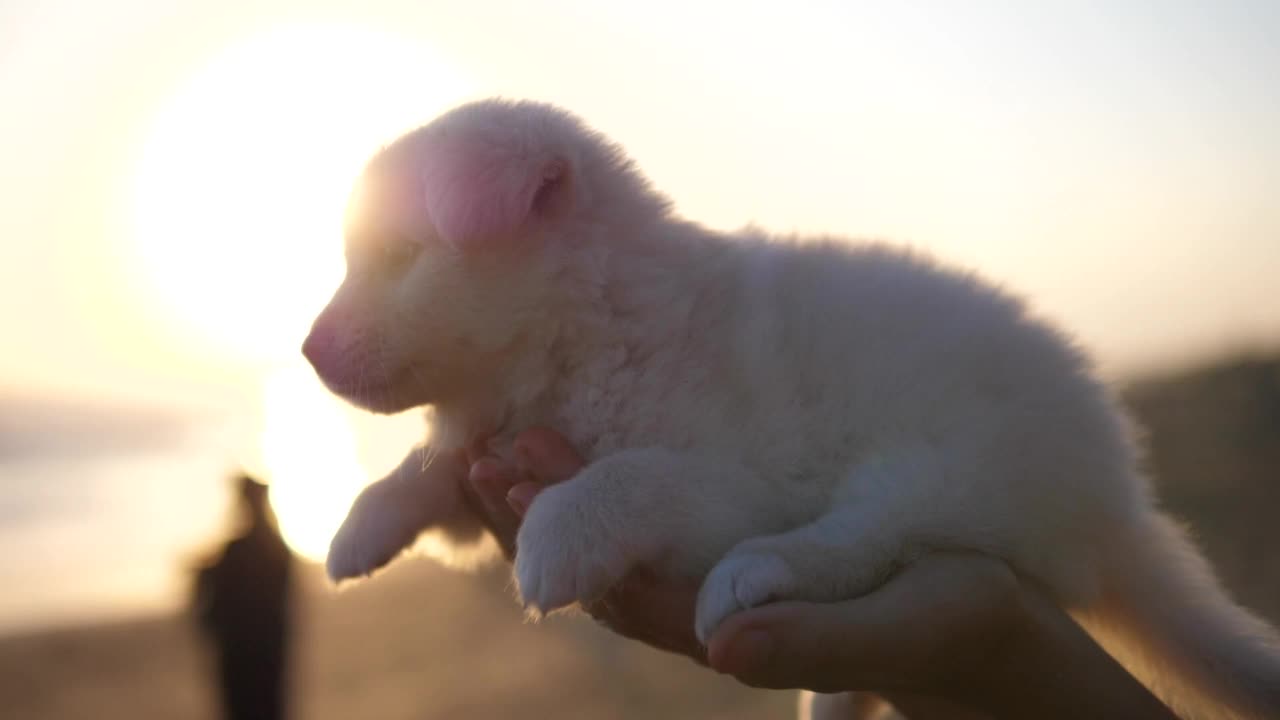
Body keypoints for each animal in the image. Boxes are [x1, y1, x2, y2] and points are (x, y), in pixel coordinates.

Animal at [307, 98, 1280, 712]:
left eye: (399, 256)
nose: (309, 353)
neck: (590, 328)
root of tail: (1119, 505)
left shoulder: (737, 482)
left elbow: (630, 475)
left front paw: (555, 539)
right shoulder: (492, 440)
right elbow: (434, 465)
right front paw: (362, 523)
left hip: (942, 467)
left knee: (863, 540)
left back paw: (756, 575)